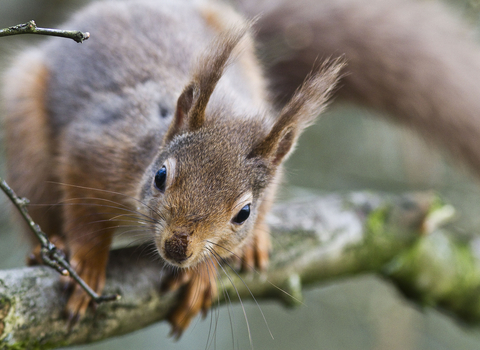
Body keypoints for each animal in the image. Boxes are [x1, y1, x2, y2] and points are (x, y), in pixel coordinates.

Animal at [4, 0, 480, 336]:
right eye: (160, 177)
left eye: (244, 212)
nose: (179, 247)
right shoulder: (97, 149)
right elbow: (85, 211)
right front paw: (86, 260)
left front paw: (203, 273)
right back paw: (50, 245)